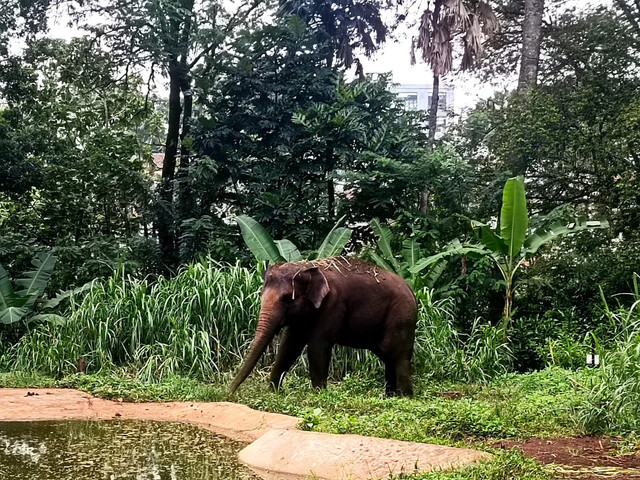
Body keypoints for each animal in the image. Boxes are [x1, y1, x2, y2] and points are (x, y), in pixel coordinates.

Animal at [228, 256, 418, 396]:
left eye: (288, 299)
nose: (228, 393)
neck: (307, 266)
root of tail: (412, 290)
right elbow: (289, 347)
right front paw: (273, 392)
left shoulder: (334, 304)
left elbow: (317, 347)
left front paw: (319, 394)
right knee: (388, 356)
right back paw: (390, 396)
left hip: (402, 317)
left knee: (398, 355)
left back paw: (404, 397)